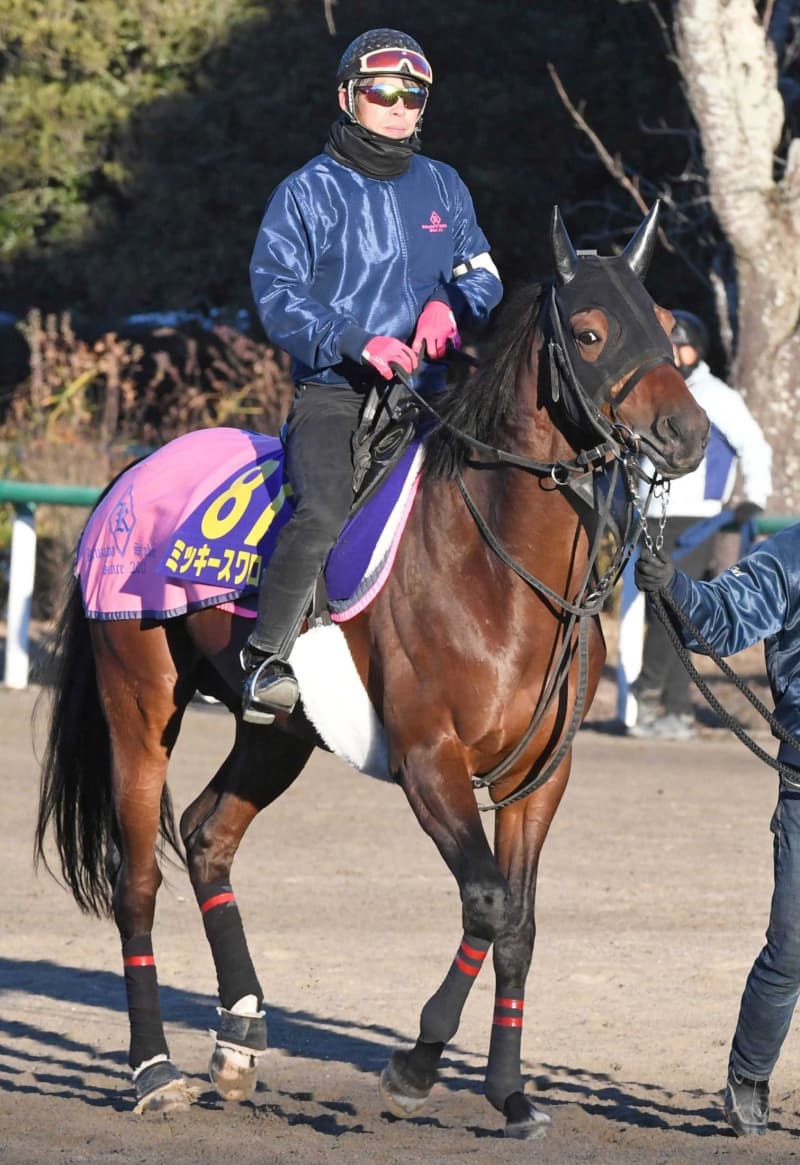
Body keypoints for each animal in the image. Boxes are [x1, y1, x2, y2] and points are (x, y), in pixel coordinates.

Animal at [34, 202, 708, 1137]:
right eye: (591, 331)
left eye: (669, 333)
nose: (690, 433)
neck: (501, 571)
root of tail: (129, 475)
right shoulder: (432, 762)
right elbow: (487, 900)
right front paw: (416, 1064)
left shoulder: (541, 776)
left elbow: (520, 923)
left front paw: (511, 1092)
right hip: (139, 702)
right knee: (137, 880)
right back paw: (154, 1069)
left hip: (278, 730)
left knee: (207, 836)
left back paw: (239, 1037)